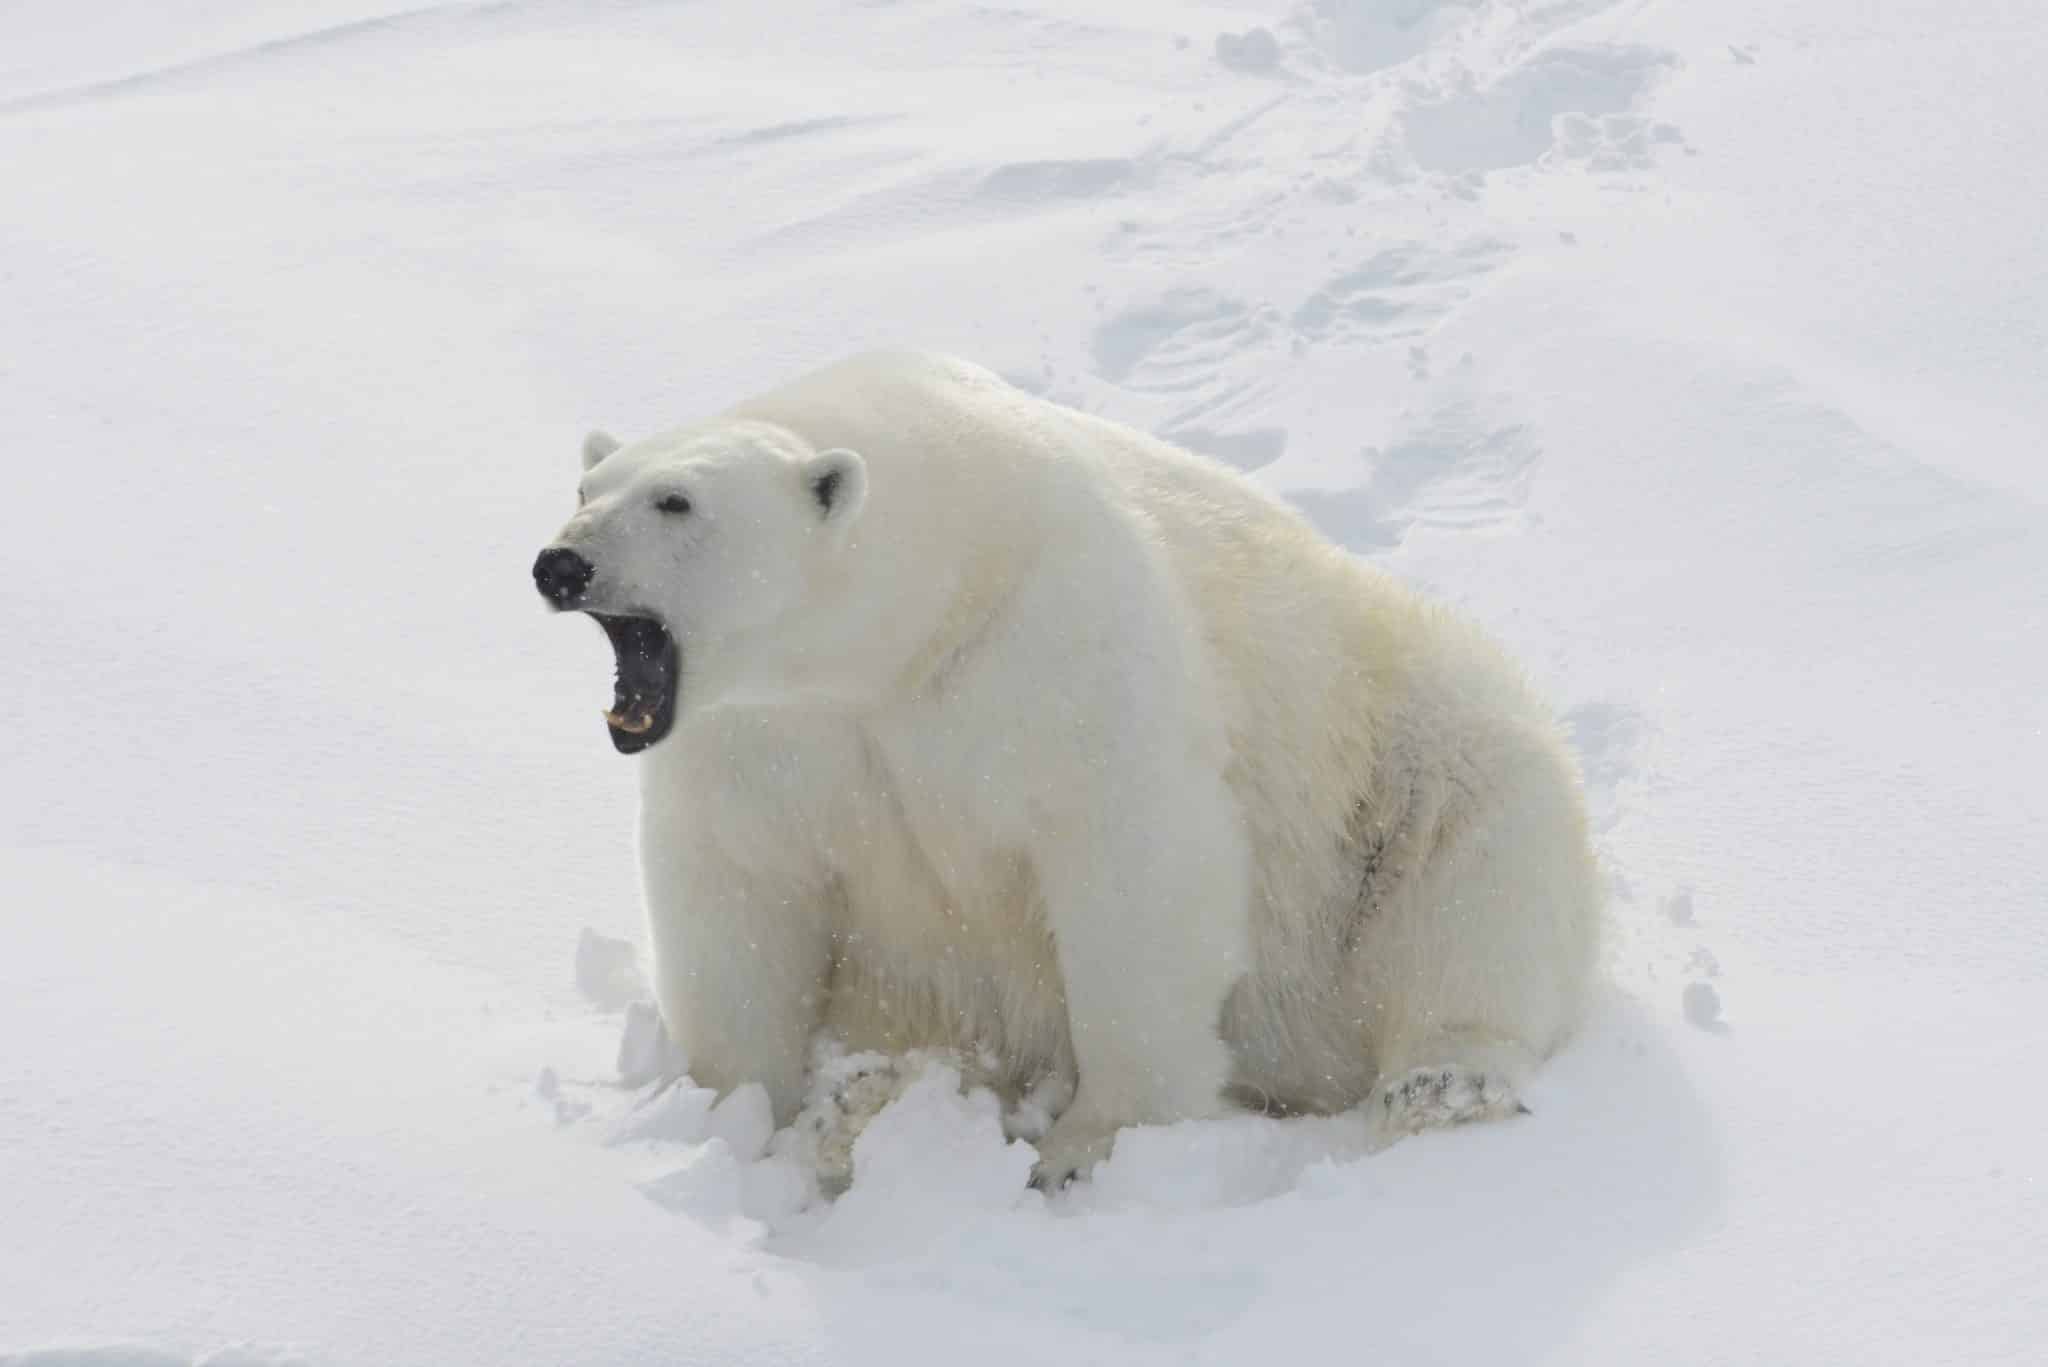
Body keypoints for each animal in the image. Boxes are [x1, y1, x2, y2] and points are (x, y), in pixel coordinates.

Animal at [532, 352, 1597, 1188]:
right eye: (587, 490)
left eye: (676, 501)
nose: (559, 564)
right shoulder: (766, 735)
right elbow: (737, 892)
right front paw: (725, 1115)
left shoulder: (1053, 642)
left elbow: (1129, 861)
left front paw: (1090, 1146)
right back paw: (869, 1102)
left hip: (1390, 745)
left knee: (1479, 849)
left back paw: (1440, 1081)